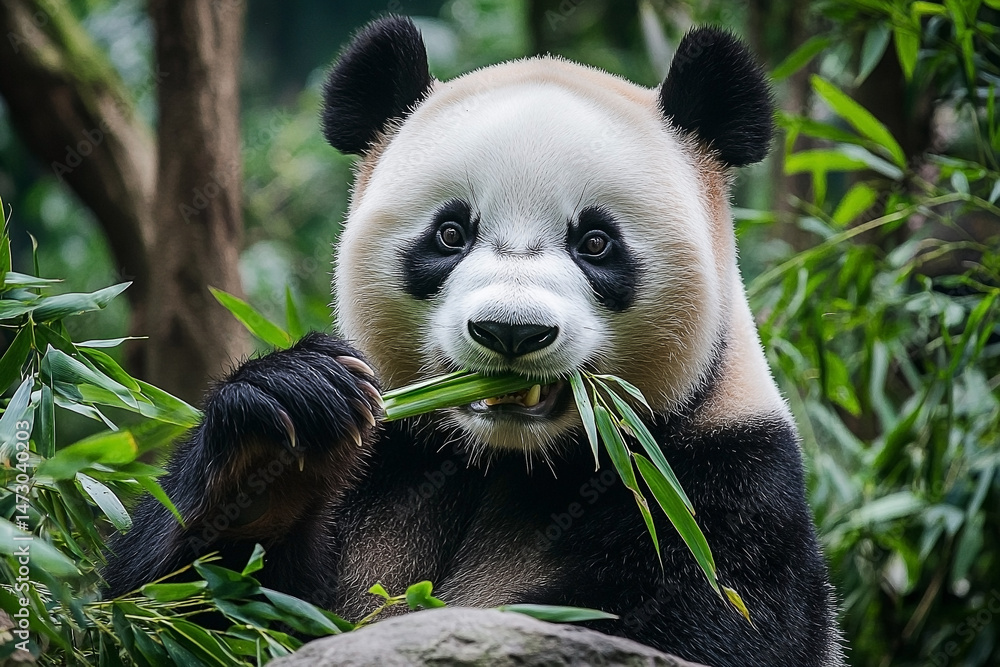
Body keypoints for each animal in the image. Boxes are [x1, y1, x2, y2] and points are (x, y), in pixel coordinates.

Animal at [105, 16, 844, 667]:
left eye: (595, 242)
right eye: (451, 233)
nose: (511, 331)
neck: (506, 460)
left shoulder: (715, 487)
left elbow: (681, 626)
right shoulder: (392, 459)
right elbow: (177, 605)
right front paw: (278, 446)